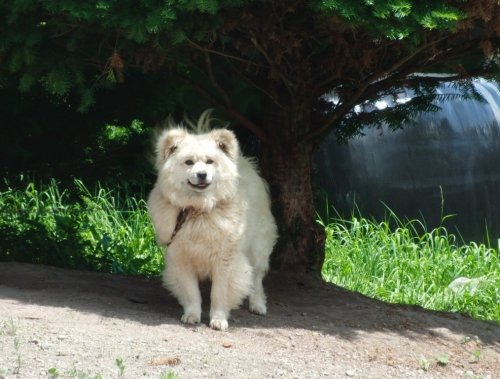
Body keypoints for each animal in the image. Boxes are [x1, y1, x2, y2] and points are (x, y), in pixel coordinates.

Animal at [147, 111, 278, 332]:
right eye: (189, 162)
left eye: (210, 162)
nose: (202, 174)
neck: (199, 211)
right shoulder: (181, 257)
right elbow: (192, 292)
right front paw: (192, 315)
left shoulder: (225, 260)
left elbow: (219, 293)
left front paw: (218, 320)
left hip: (257, 249)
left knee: (257, 279)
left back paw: (258, 305)